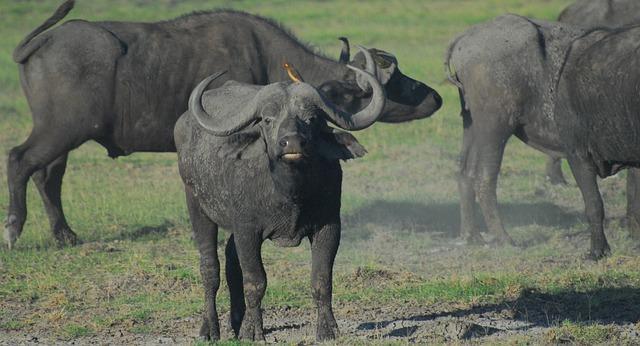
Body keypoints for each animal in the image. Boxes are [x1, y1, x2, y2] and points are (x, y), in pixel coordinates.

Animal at [5, 0, 442, 249]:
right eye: (397, 81)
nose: (435, 96)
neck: (267, 58)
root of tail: (41, 43)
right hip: (60, 129)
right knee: (19, 160)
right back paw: (13, 230)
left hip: (64, 138)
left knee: (48, 175)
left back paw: (65, 235)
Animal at [175, 49, 384, 344]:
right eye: (267, 119)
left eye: (311, 118)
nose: (292, 142)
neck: (290, 192)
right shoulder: (248, 230)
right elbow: (255, 281)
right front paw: (253, 332)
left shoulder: (330, 226)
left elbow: (321, 279)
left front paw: (327, 330)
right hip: (196, 206)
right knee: (210, 268)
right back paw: (209, 329)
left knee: (230, 262)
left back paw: (236, 322)